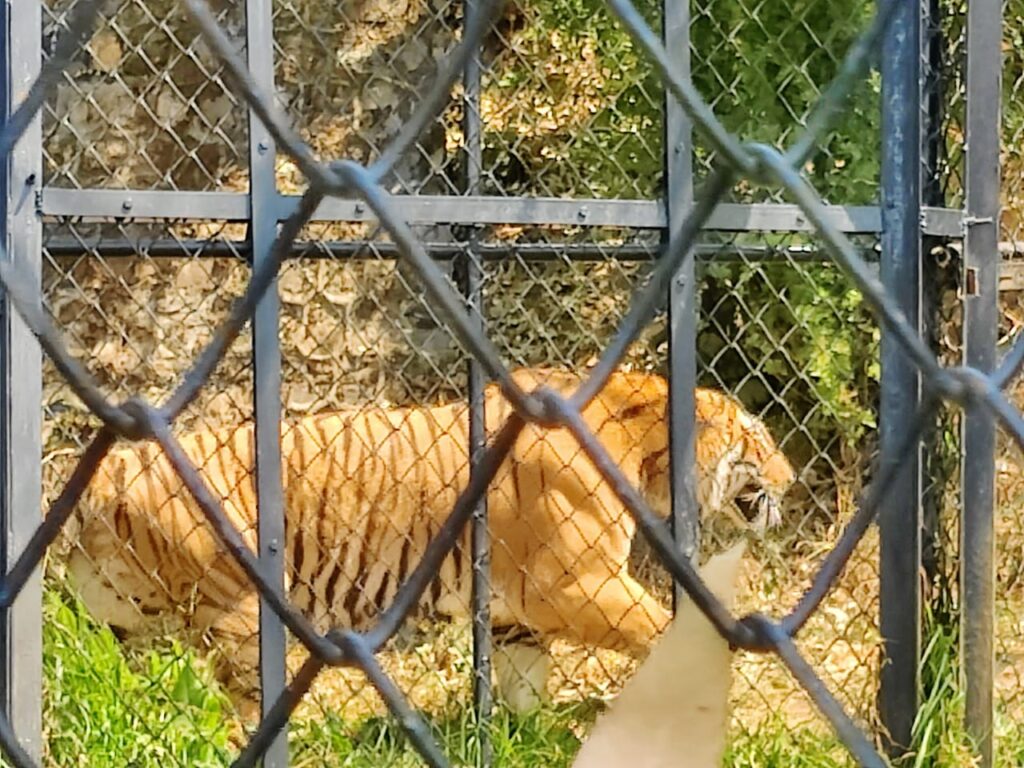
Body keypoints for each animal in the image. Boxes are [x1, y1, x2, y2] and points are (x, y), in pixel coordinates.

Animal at [66, 370, 798, 720]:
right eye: (758, 437)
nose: (793, 479)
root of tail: (104, 477)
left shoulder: (514, 617)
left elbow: (524, 692)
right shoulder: (574, 586)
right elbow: (663, 627)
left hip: (122, 628)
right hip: (236, 616)